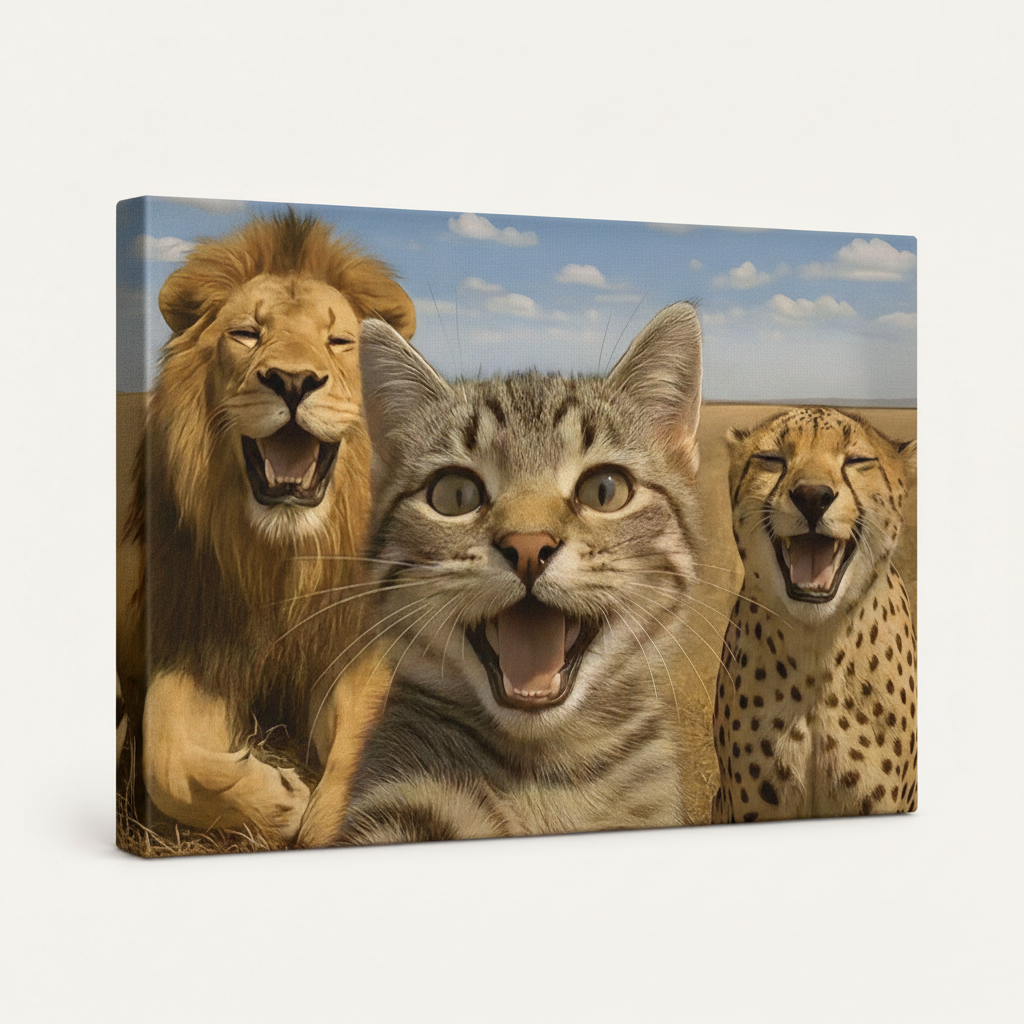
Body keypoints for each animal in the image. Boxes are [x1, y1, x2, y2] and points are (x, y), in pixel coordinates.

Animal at [117, 210, 415, 847]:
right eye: (247, 334)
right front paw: (277, 797)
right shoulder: (198, 646)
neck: (284, 561)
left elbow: (366, 732)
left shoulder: (356, 647)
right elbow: (165, 759)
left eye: (339, 341)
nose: (294, 381)